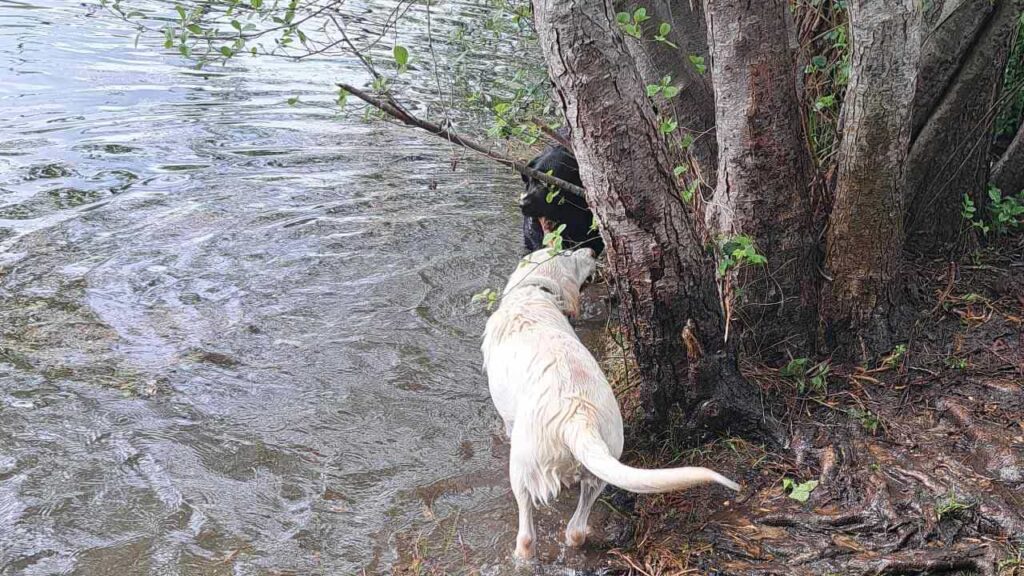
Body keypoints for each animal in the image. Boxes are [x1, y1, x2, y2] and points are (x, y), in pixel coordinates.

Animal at [483, 249, 741, 557]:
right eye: (570, 254)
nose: (592, 251)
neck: (533, 292)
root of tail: (576, 417)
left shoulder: (508, 420)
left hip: (522, 470)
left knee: (527, 536)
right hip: (599, 470)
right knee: (576, 530)